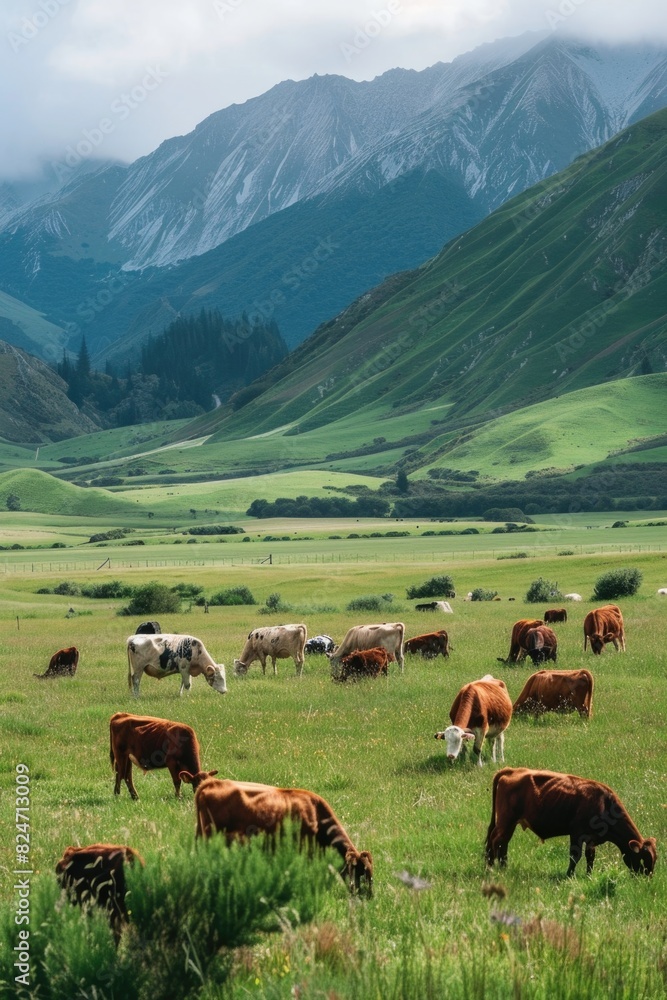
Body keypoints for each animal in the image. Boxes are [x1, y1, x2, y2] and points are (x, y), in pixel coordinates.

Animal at [486, 764, 656, 876]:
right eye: (643, 859)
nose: (647, 878)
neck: (604, 803)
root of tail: (512, 770)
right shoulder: (577, 833)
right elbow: (575, 856)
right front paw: (569, 875)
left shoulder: (591, 838)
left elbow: (590, 857)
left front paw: (589, 875)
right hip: (505, 821)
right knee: (495, 841)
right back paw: (492, 868)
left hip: (510, 824)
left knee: (503, 843)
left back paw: (503, 867)